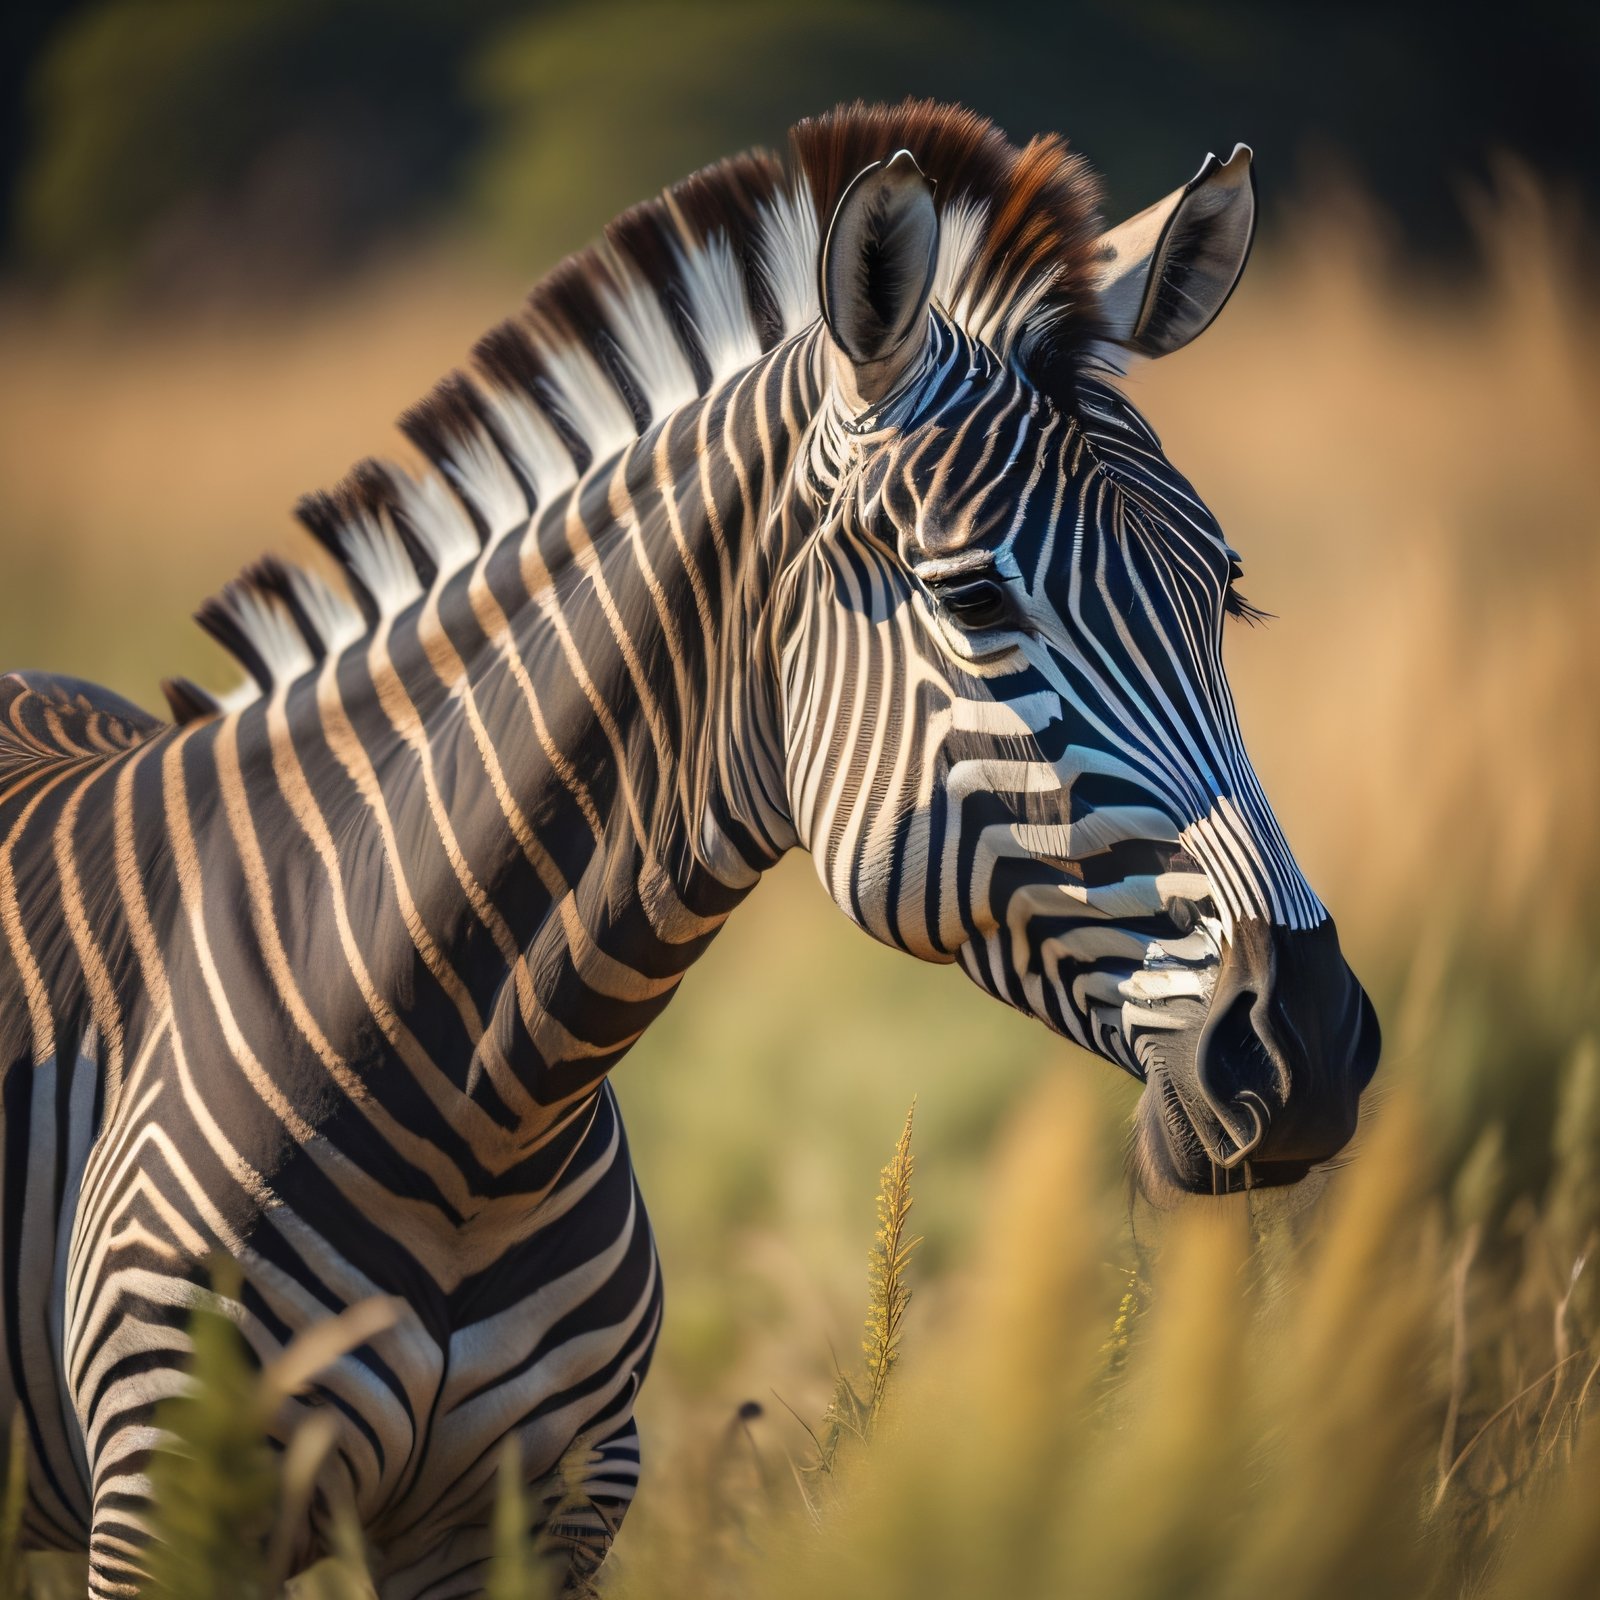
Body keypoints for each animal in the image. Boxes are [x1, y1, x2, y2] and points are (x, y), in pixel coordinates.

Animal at [0, 106, 1376, 1593]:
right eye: (970, 597)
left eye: (1224, 593)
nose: (1309, 1044)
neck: (487, 1107)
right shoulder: (171, 1505)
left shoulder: (536, 1513)